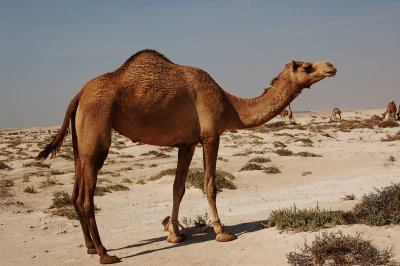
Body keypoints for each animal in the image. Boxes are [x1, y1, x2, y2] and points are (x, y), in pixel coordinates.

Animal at [36, 50, 338, 264]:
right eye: (306, 66)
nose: (331, 66)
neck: (230, 104)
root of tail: (78, 94)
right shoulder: (211, 135)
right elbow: (210, 184)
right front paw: (222, 232)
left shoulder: (187, 143)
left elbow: (178, 187)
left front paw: (175, 234)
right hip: (97, 128)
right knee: (87, 197)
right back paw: (104, 253)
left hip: (80, 140)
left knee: (75, 192)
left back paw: (89, 247)